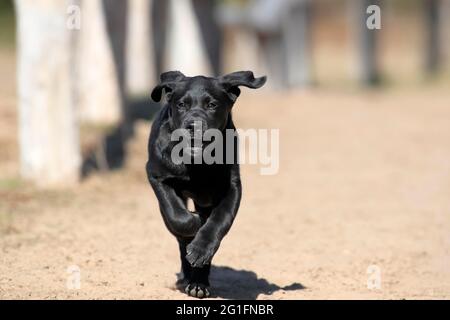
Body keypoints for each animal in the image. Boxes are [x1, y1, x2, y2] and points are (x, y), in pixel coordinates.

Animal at [148, 69, 266, 298]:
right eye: (181, 104)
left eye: (212, 105)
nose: (193, 125)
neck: (197, 163)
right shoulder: (157, 176)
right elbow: (178, 217)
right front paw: (194, 222)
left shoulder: (231, 188)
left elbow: (220, 221)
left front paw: (201, 248)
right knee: (180, 237)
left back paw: (199, 283)